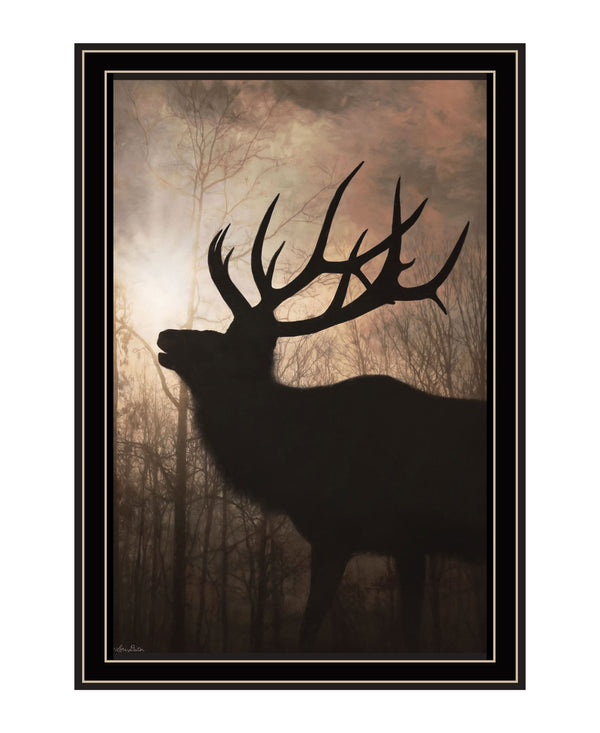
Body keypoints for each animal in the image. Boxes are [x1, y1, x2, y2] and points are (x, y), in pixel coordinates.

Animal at [157, 162, 486, 652]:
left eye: (225, 346)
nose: (166, 336)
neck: (299, 468)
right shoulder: (335, 537)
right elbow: (311, 626)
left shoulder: (405, 533)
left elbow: (400, 633)